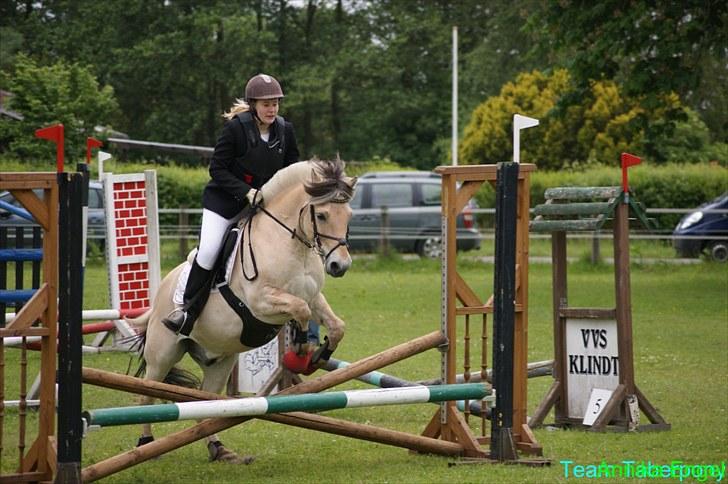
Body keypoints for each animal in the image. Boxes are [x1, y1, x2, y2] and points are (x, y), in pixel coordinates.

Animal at [130, 158, 358, 462]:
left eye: (349, 215)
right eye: (321, 215)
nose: (339, 266)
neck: (291, 243)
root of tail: (159, 296)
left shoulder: (312, 297)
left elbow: (336, 326)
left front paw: (319, 356)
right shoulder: (262, 302)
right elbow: (300, 311)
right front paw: (299, 352)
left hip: (220, 360)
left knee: (206, 399)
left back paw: (219, 449)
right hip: (163, 353)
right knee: (147, 394)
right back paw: (146, 444)